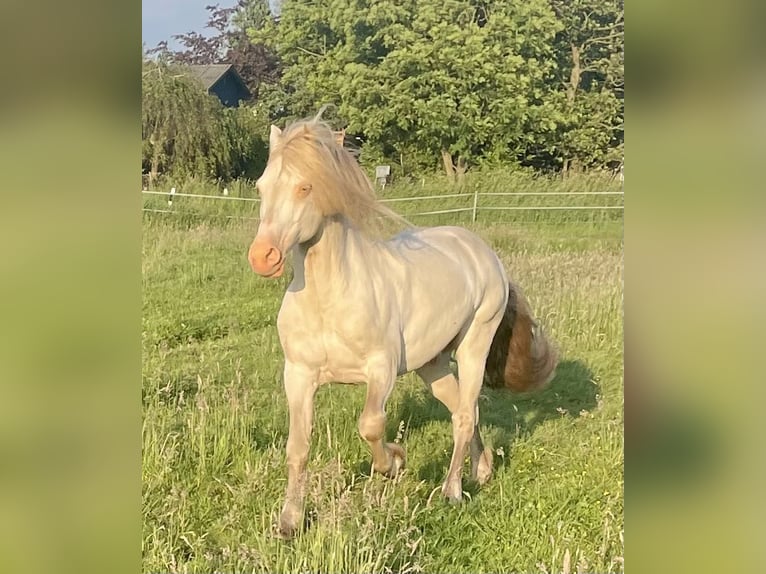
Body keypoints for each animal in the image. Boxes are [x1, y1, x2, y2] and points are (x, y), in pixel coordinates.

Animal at [250, 115, 560, 536]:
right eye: (261, 186)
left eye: (305, 186)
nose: (262, 257)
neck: (330, 300)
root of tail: (482, 252)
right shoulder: (298, 375)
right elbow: (297, 447)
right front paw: (289, 522)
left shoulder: (381, 370)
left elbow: (371, 425)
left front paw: (395, 462)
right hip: (433, 364)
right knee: (466, 409)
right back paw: (482, 470)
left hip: (474, 346)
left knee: (465, 415)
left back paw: (452, 490)